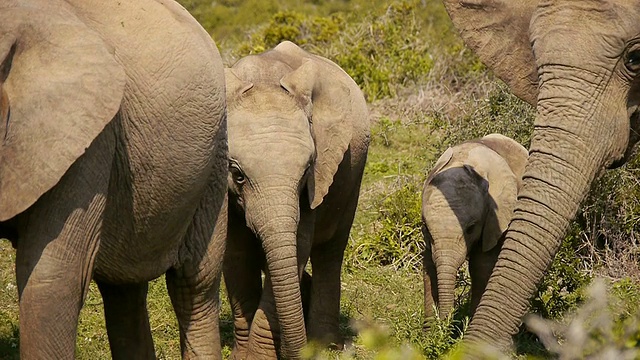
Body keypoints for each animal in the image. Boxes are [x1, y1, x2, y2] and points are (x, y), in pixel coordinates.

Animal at [222, 40, 370, 358]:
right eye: (237, 174)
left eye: (306, 171)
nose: (302, 350)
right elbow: (237, 254)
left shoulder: (315, 184)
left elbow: (298, 248)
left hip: (353, 177)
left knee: (330, 251)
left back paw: (327, 343)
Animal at [420, 134, 524, 324]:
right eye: (426, 228)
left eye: (470, 229)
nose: (445, 323)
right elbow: (429, 264)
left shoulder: (496, 218)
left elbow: (481, 266)